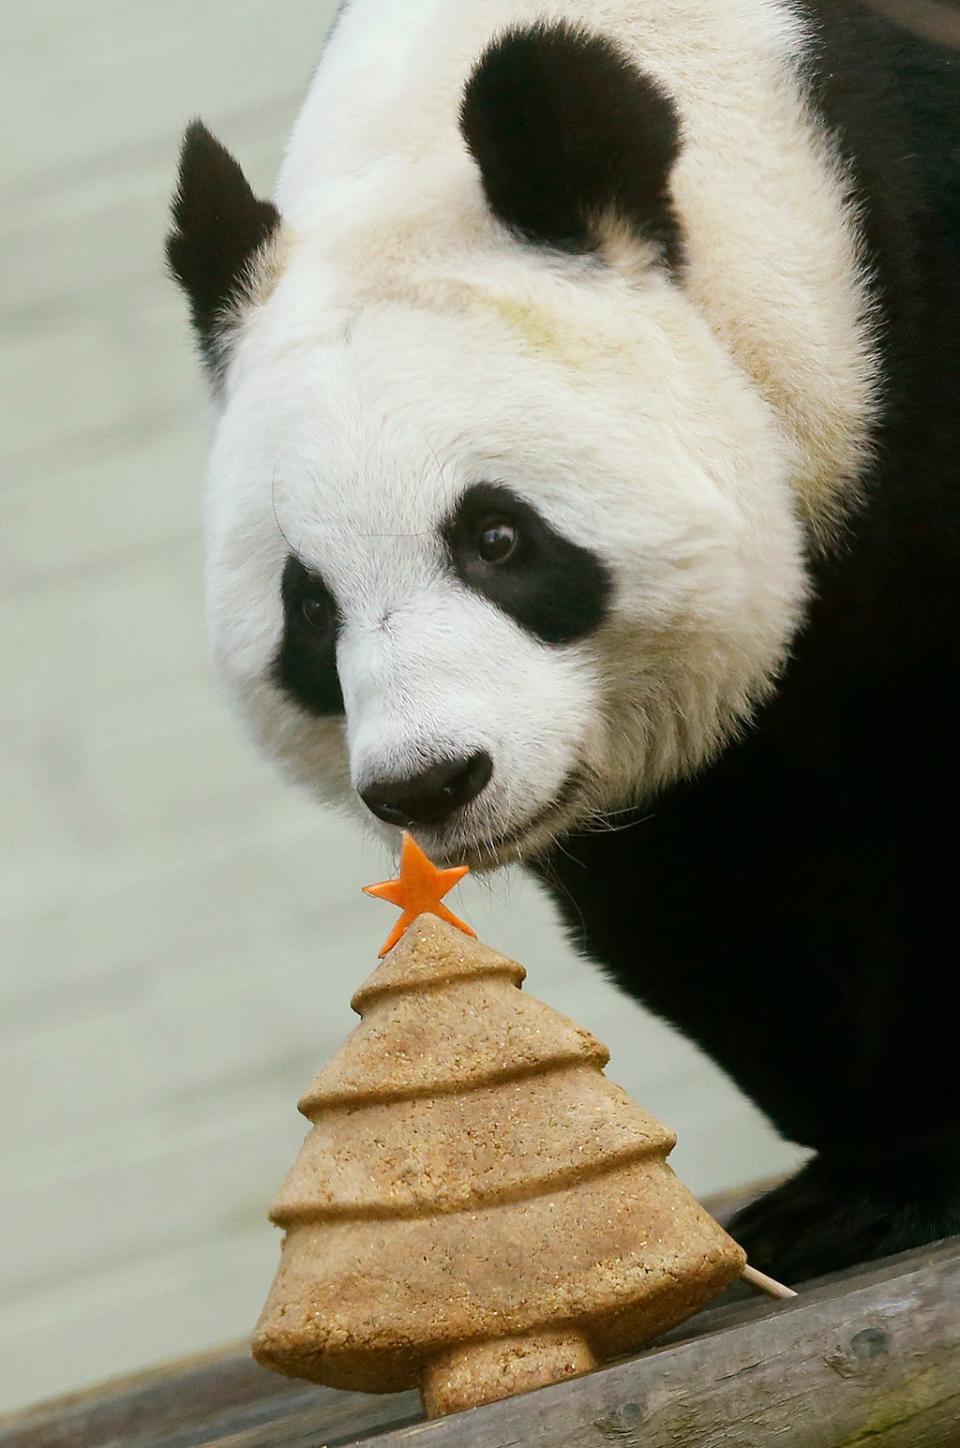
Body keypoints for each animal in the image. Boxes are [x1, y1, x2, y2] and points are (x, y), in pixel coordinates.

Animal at [167, 2, 960, 1291]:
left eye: (497, 536)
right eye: (311, 607)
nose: (431, 782)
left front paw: (899, 1177)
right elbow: (729, 880)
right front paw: (864, 1168)